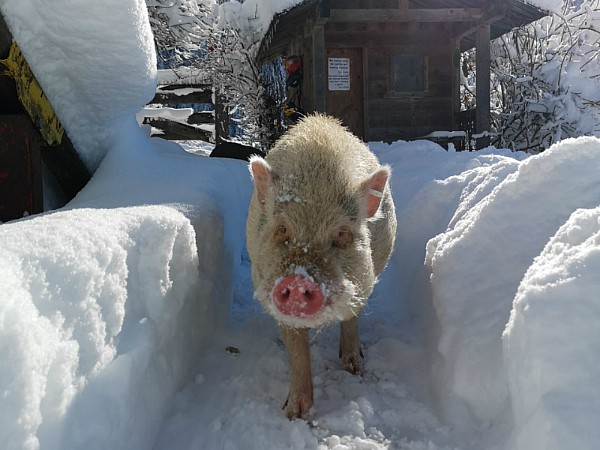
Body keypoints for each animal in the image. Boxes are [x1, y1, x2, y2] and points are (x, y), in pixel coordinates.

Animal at [246, 112, 396, 418]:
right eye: (282, 229)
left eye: (341, 234)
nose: (298, 279)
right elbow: (296, 347)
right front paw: (295, 414)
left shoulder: (364, 281)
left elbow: (351, 318)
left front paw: (355, 369)